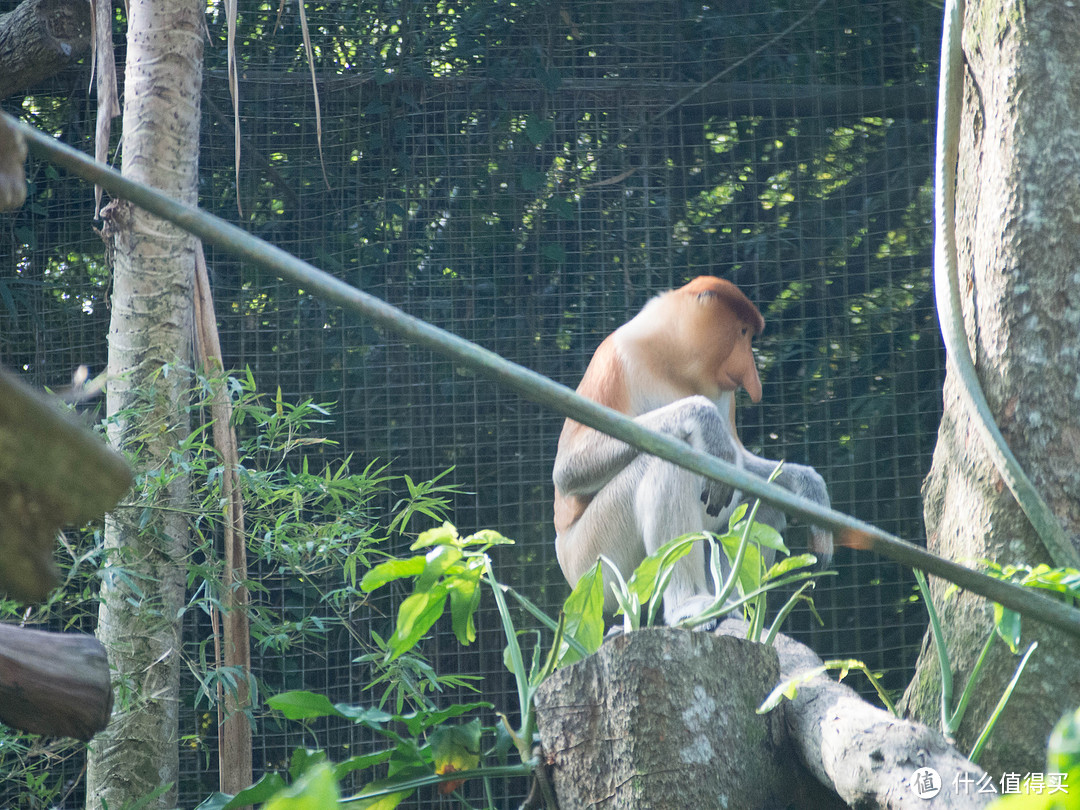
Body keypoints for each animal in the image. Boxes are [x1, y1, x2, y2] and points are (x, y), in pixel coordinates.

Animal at [552, 276, 829, 626]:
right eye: (742, 332)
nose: (754, 380)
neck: (678, 367)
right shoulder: (616, 358)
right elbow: (568, 470)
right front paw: (705, 419)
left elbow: (739, 462)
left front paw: (809, 486)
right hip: (595, 562)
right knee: (669, 462)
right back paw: (691, 605)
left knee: (761, 507)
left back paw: (731, 608)